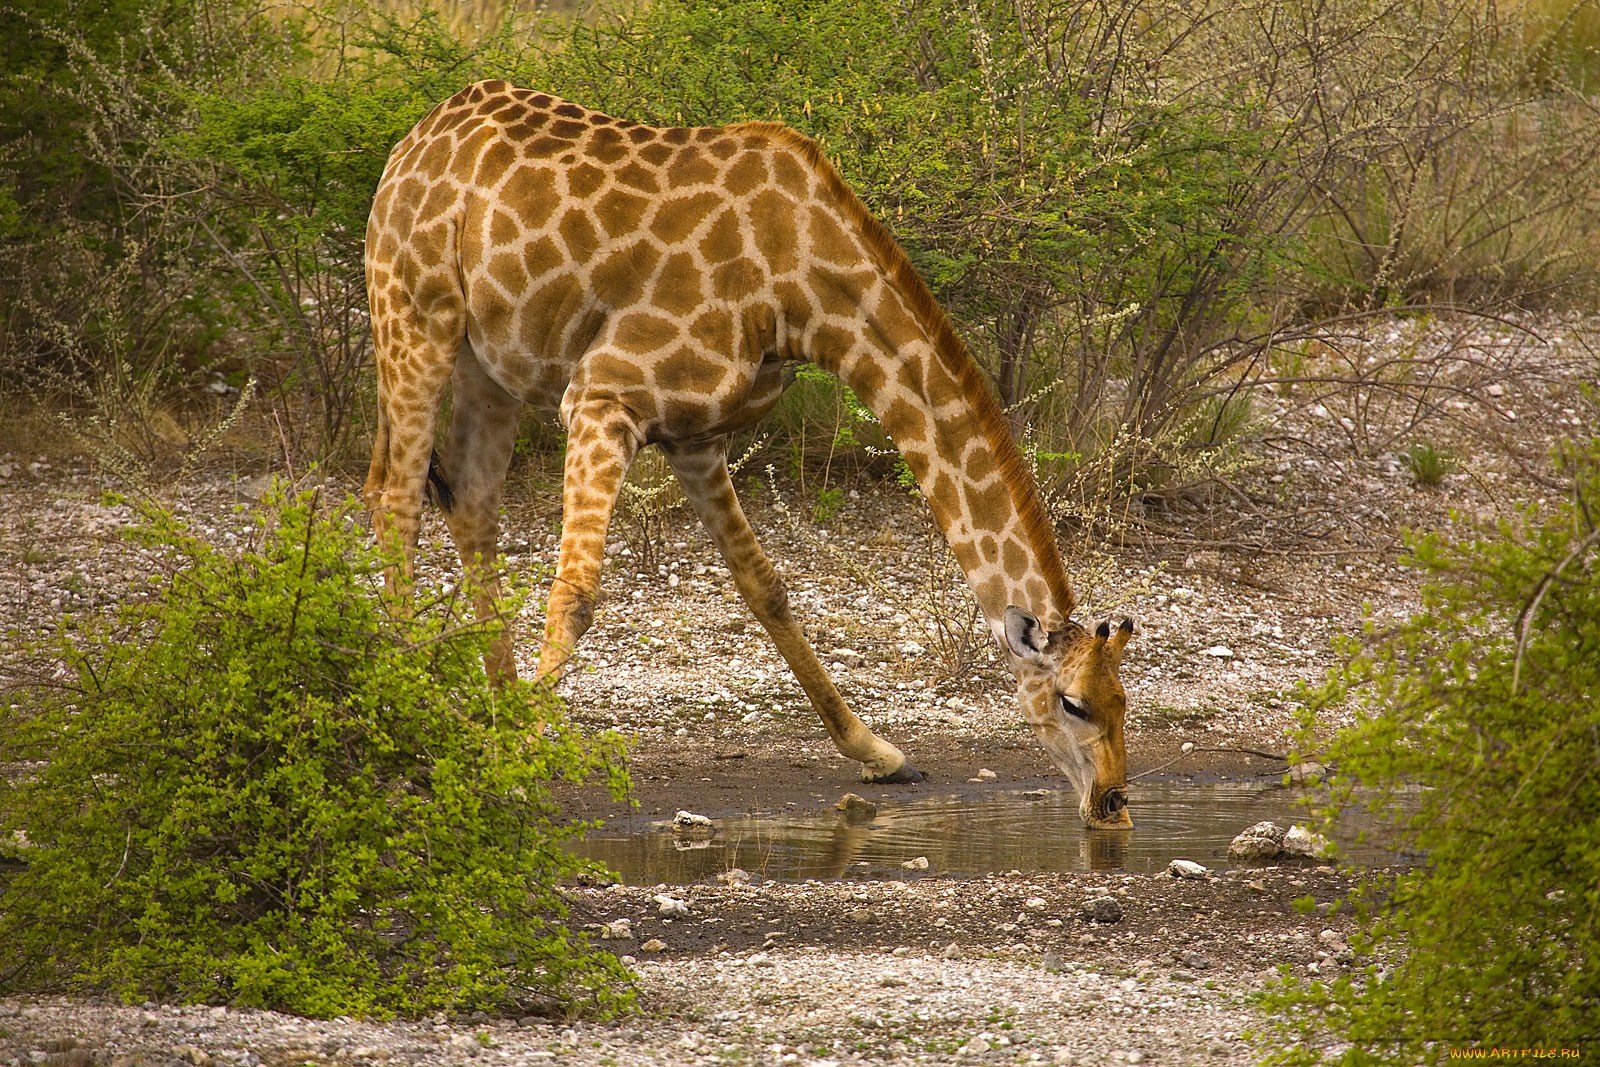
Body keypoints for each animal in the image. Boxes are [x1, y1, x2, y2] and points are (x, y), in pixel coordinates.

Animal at [363, 81, 1139, 831]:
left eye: (1125, 698)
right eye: (1072, 702)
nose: (1112, 803)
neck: (802, 289)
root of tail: (413, 139)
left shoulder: (697, 437)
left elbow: (766, 586)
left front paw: (880, 753)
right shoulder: (601, 396)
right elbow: (576, 594)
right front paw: (519, 764)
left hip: (488, 363)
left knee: (465, 502)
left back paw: (492, 712)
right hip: (415, 314)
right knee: (396, 498)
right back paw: (413, 713)